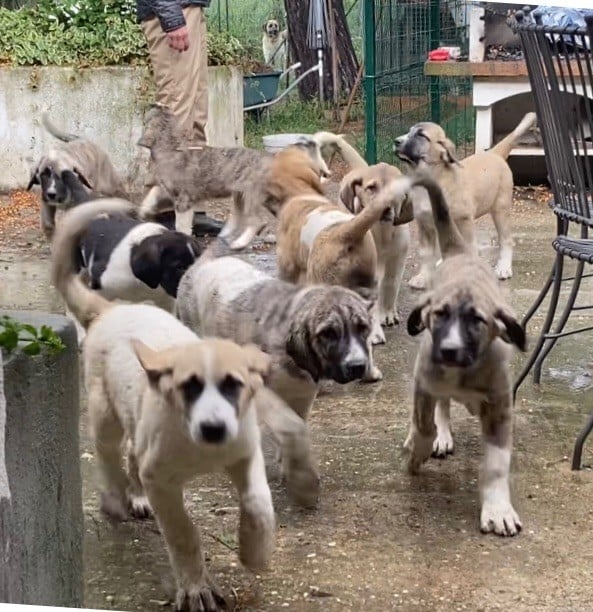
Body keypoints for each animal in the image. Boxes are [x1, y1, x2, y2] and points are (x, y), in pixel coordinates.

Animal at [52, 200, 320, 608]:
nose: (214, 429)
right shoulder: (162, 481)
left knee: (131, 454)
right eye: (187, 388)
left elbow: (258, 502)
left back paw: (135, 497)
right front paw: (196, 588)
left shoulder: (246, 454)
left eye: (235, 386)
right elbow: (183, 533)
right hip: (104, 411)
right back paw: (116, 499)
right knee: (110, 455)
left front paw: (254, 550)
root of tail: (113, 310)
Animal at [139, 105, 332, 241]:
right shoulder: (167, 189)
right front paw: (143, 210)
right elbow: (151, 194)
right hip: (266, 199)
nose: (152, 103)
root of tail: (273, 158)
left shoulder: (184, 199)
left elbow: (182, 224)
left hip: (253, 195)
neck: (171, 146)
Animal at [394, 112, 536, 290]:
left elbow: (468, 248)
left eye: (421, 135)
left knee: (506, 240)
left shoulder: (463, 221)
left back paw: (503, 268)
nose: (396, 141)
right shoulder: (425, 225)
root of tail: (494, 153)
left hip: (500, 209)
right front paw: (423, 277)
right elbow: (426, 255)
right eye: (409, 131)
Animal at [404, 171, 524, 536]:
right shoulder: (424, 382)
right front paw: (420, 449)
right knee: (439, 409)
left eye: (477, 321)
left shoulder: (500, 406)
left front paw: (498, 509)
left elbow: (497, 464)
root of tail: (459, 252)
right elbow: (424, 425)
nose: (448, 351)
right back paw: (434, 437)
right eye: (439, 315)